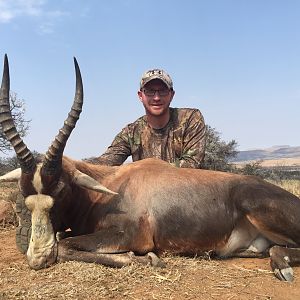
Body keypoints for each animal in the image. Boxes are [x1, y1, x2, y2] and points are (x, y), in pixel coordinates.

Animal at [0, 55, 300, 282]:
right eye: (24, 194)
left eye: (61, 190)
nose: (38, 258)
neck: (111, 188)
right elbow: (64, 239)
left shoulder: (130, 236)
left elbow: (64, 246)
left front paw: (149, 260)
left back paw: (282, 266)